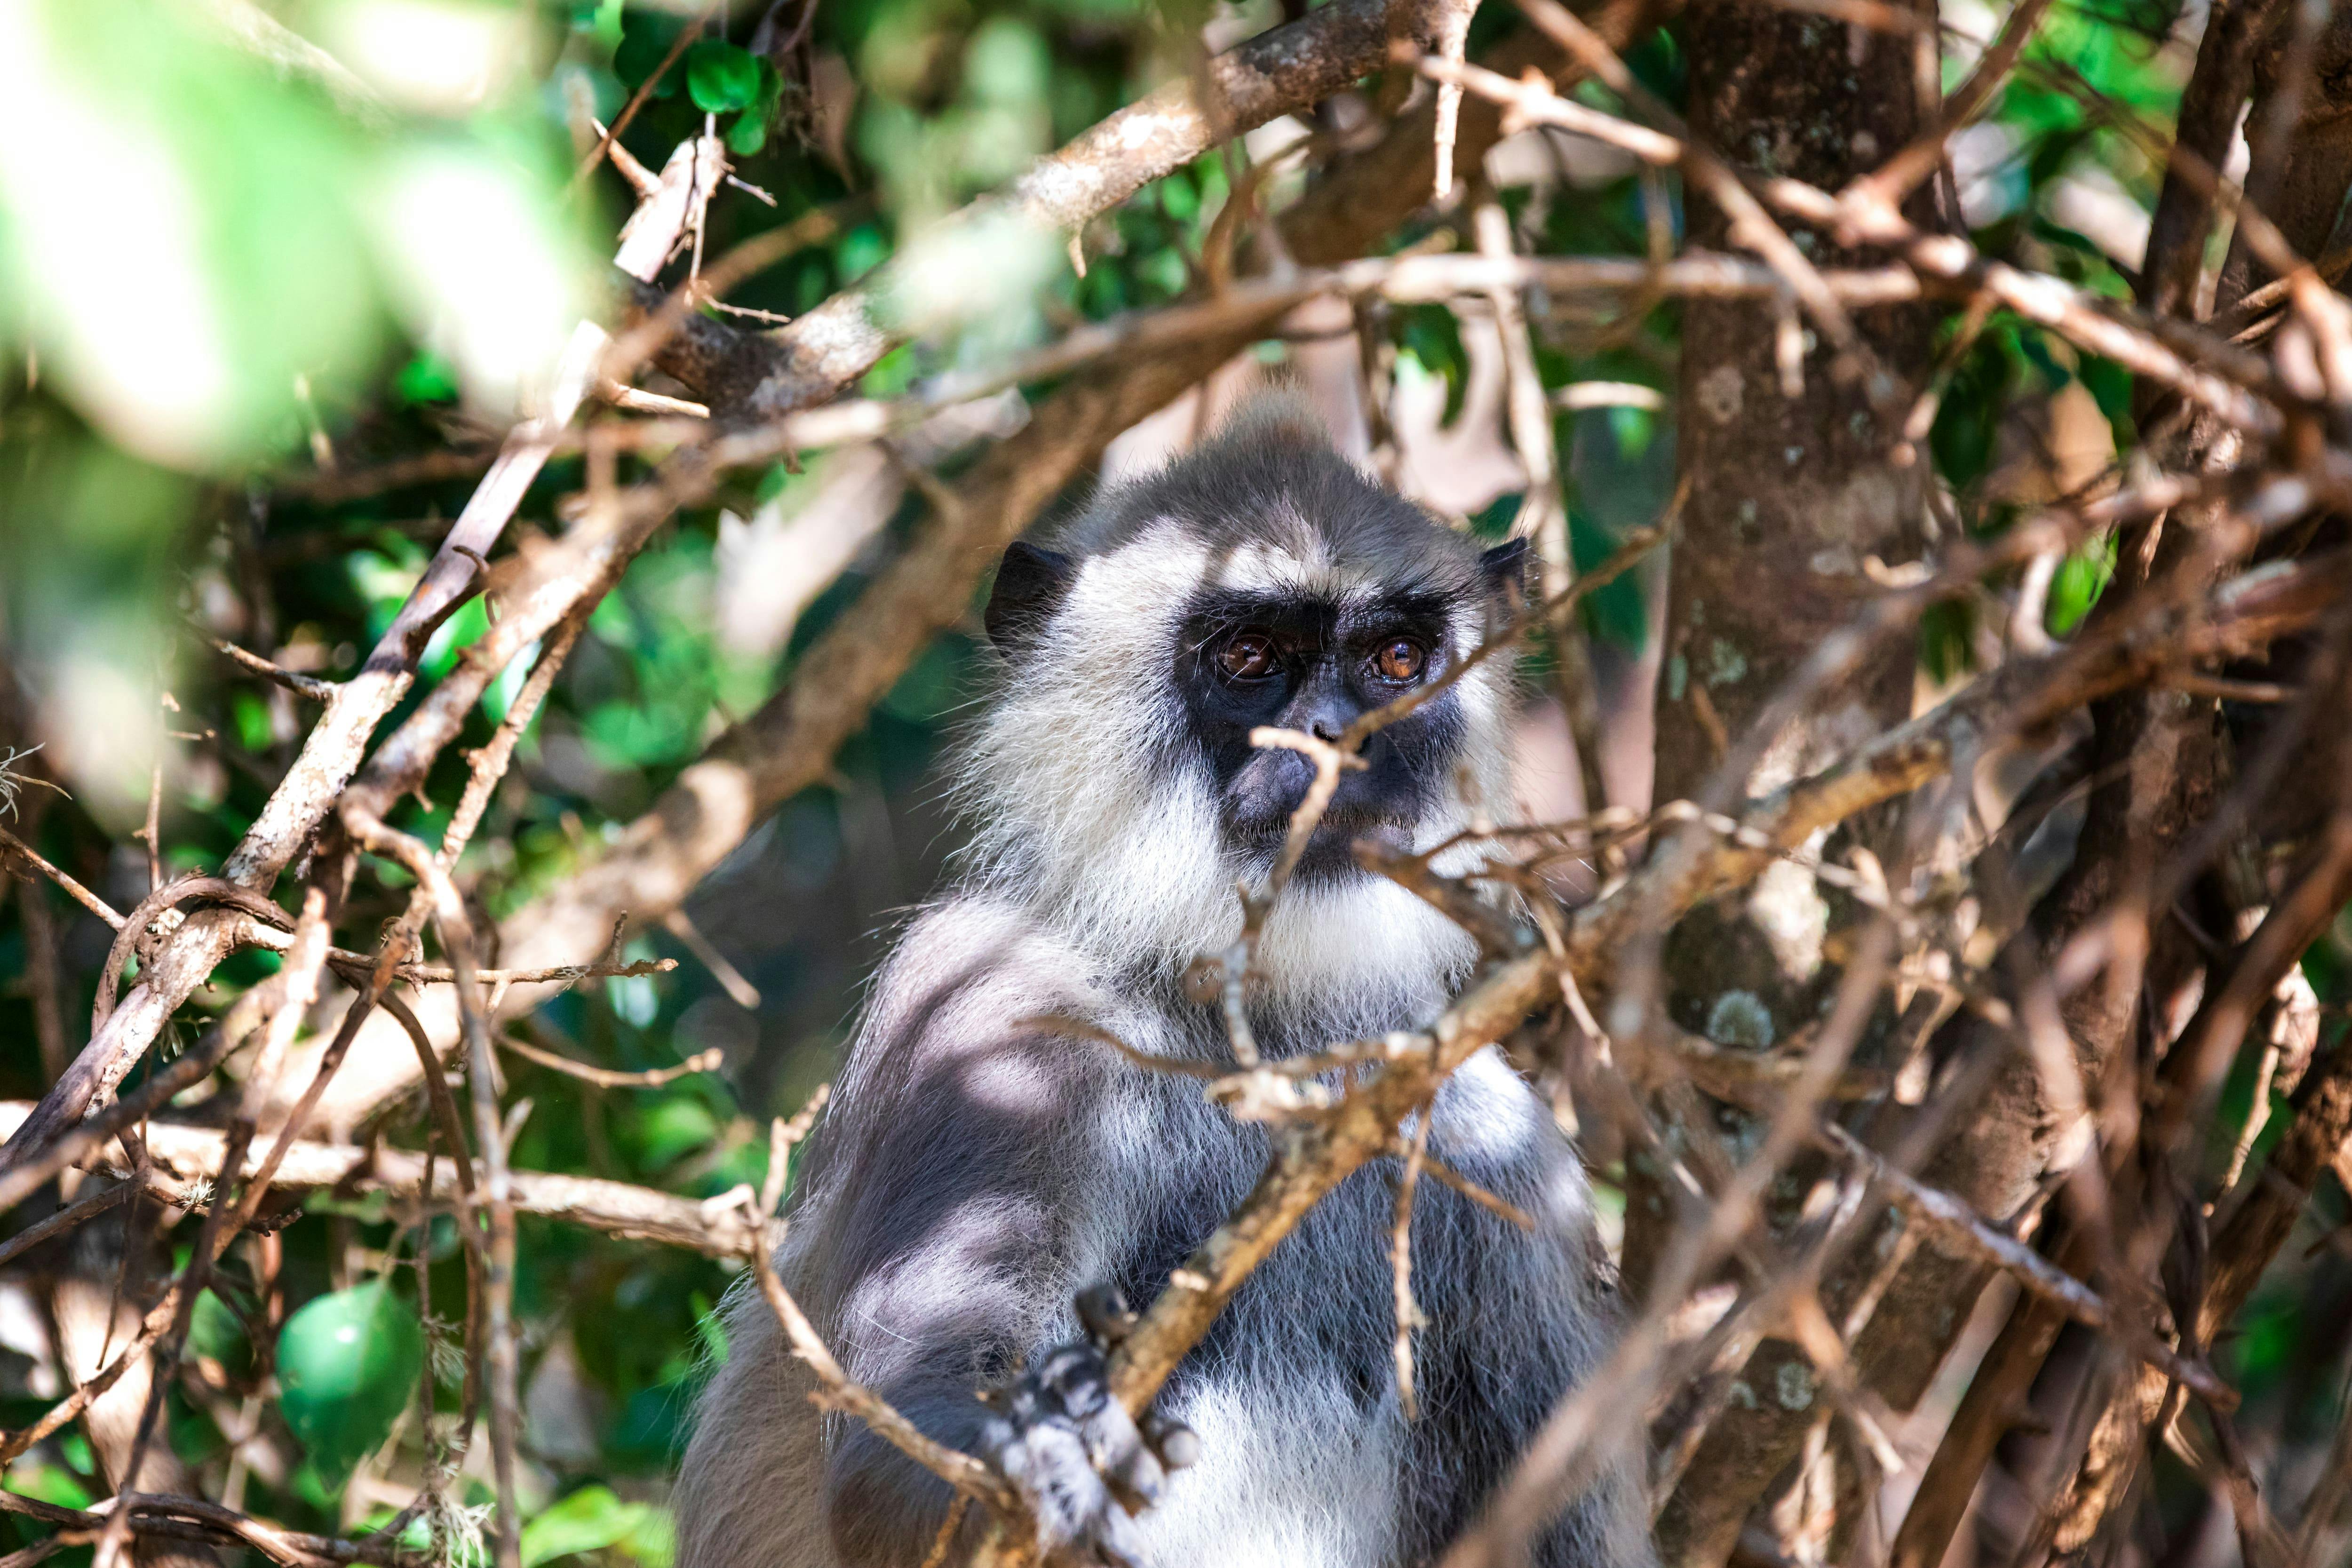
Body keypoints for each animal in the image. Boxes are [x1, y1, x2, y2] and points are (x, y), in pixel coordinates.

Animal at [682, 402, 1656, 1568]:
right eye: (1247, 656)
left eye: (1395, 659)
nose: (1338, 735)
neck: (1269, 1038)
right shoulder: (985, 1011)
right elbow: (887, 1472)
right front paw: (1041, 1446)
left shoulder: (1504, 1153)